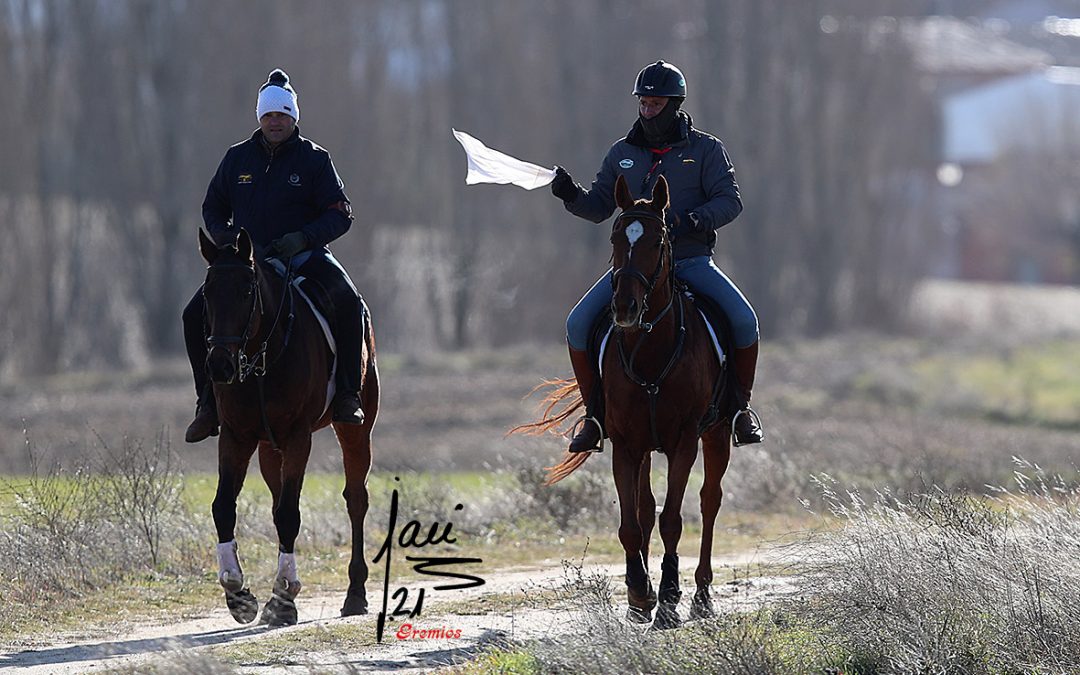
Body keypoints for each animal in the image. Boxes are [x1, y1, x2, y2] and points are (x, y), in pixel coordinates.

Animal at [198, 227, 380, 626]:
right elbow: (224, 506)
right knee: (276, 495)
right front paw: (237, 592)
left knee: (356, 499)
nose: (219, 365)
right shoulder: (235, 436)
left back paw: (355, 594)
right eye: (206, 293)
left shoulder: (298, 436)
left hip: (356, 430)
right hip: (269, 446)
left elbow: (288, 514)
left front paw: (284, 595)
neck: (260, 359)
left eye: (247, 291)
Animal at [518, 173, 730, 626]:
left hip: (717, 433)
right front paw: (638, 592)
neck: (650, 349)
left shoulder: (684, 442)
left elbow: (672, 520)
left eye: (657, 240)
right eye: (615, 238)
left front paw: (667, 598)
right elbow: (632, 523)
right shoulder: (626, 444)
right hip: (648, 446)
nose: (625, 307)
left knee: (709, 501)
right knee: (647, 508)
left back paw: (702, 595)